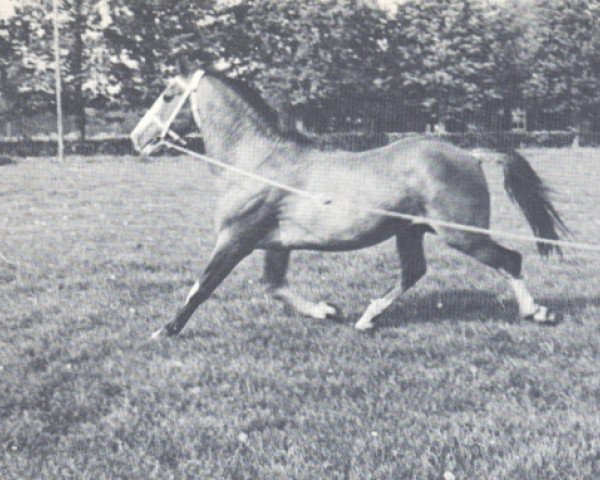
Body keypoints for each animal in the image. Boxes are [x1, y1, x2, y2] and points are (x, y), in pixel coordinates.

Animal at [130, 70, 568, 338]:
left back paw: (537, 312)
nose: (137, 138)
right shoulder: (275, 244)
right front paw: (328, 310)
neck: (256, 162)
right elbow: (274, 286)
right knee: (414, 271)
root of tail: (471, 155)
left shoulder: (235, 238)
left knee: (509, 259)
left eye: (168, 95)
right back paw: (367, 317)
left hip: (462, 235)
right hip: (411, 231)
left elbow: (201, 287)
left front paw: (164, 330)